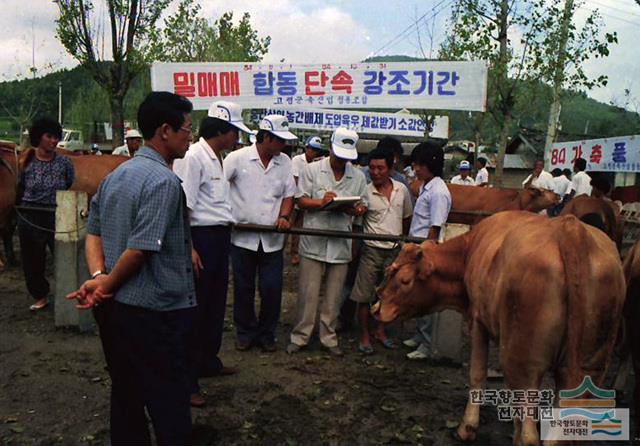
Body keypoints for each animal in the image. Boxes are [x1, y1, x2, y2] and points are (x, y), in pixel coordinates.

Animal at [372, 211, 628, 444]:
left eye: (405, 280)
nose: (376, 308)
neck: (469, 250)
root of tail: (570, 228)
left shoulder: (477, 320)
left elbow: (476, 373)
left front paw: (467, 428)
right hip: (590, 367)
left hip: (523, 362)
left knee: (529, 435)